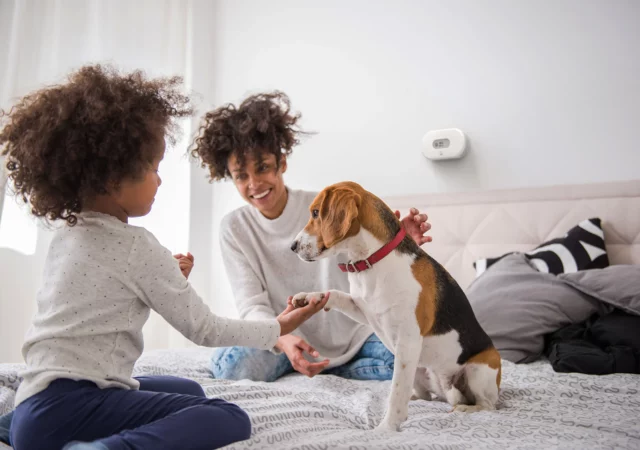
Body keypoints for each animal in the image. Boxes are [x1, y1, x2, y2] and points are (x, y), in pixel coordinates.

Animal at [290, 182, 500, 432]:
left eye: (315, 213)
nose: (292, 246)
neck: (371, 261)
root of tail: (446, 388)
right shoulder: (364, 310)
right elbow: (336, 294)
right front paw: (309, 297)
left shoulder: (407, 341)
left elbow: (396, 393)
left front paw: (386, 428)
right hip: (419, 371)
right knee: (426, 396)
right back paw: (419, 399)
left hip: (478, 369)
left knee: (488, 405)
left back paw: (466, 408)